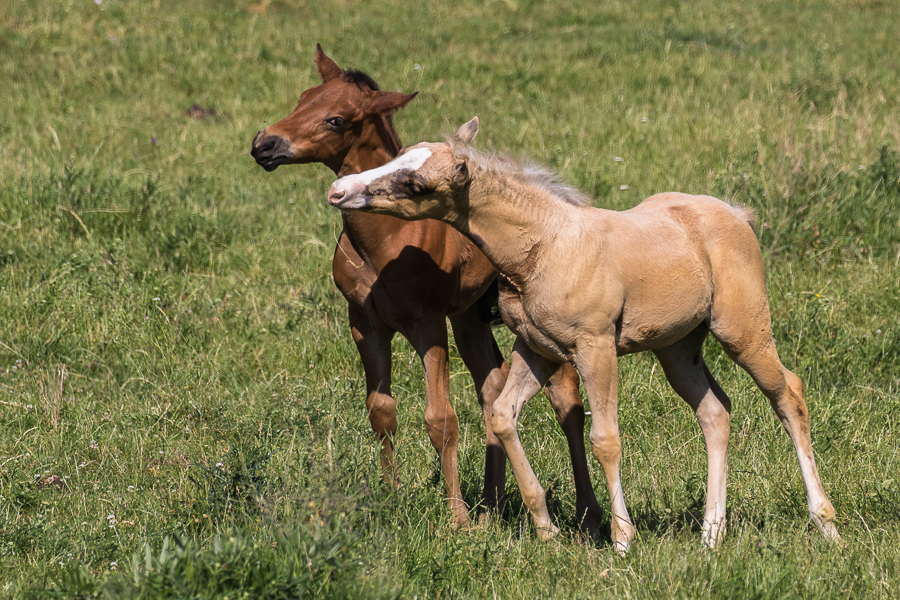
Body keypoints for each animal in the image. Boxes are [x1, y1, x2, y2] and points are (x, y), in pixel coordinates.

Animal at [253, 49, 604, 532]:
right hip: (470, 316)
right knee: (492, 384)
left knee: (565, 398)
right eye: (303, 98)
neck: (385, 242)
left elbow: (441, 419)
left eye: (336, 120)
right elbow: (381, 411)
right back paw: (492, 505)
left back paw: (587, 512)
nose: (263, 145)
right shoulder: (365, 324)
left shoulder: (428, 324)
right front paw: (392, 496)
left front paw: (456, 519)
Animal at [326, 118, 840, 552]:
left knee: (789, 394)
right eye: (400, 154)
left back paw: (825, 523)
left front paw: (622, 539)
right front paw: (546, 529)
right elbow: (502, 416)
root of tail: (736, 214)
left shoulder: (595, 347)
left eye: (415, 184)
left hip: (742, 330)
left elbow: (604, 438)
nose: (338, 191)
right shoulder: (536, 349)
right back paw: (711, 535)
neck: (546, 245)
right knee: (715, 411)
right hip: (677, 348)